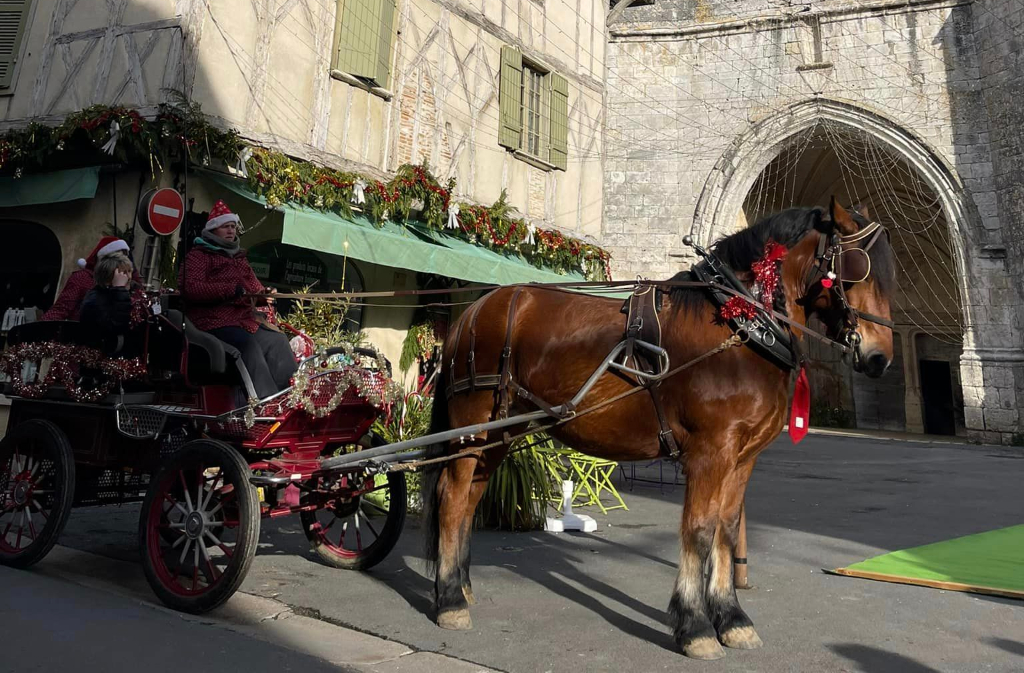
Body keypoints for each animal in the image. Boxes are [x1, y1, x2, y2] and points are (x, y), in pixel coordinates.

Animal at [419, 200, 892, 659]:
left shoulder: (742, 458)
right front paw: (696, 627)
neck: (739, 326)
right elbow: (699, 531)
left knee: (470, 499)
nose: (880, 357)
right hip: (473, 429)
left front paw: (732, 619)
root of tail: (473, 311)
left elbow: (726, 529)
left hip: (496, 435)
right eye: (859, 268)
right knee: (453, 497)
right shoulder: (710, 454)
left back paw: (460, 586)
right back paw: (450, 601)